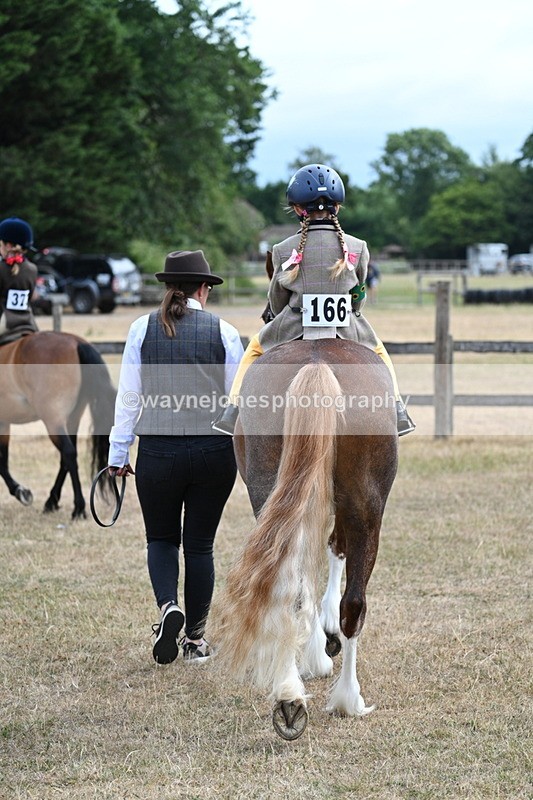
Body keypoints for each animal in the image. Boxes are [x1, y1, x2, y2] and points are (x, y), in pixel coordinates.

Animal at [0, 331, 116, 519]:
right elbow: (3, 461)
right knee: (67, 457)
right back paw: (52, 501)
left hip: (53, 421)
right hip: (72, 419)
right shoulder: (4, 423)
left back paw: (78, 508)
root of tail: (77, 342)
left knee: (68, 453)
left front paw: (20, 491)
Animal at [214, 338, 398, 740]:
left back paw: (289, 696)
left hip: (271, 489)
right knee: (353, 604)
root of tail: (317, 361)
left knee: (289, 589)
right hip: (365, 506)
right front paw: (322, 644)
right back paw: (347, 698)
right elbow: (335, 550)